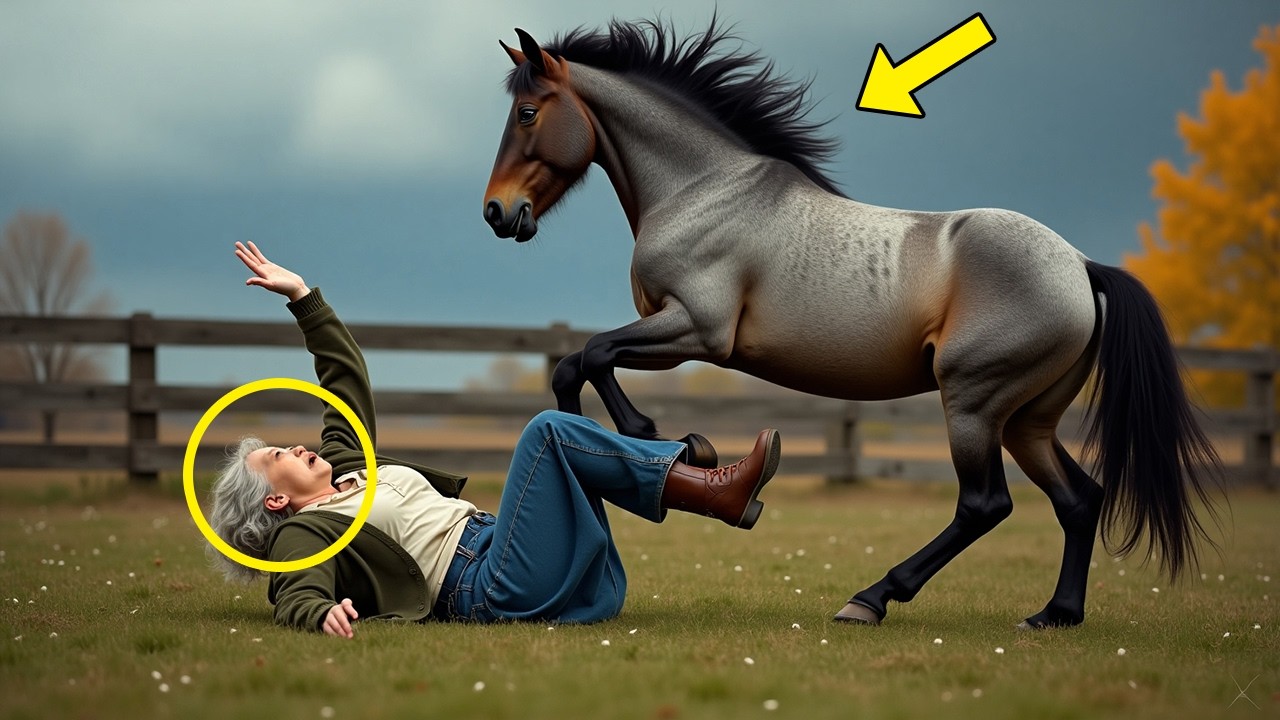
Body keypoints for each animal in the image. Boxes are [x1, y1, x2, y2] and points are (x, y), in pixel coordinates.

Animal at [481, 18, 1221, 629]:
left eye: (526, 112)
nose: (496, 212)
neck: (705, 191)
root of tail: (1081, 267)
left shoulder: (696, 330)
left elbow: (593, 355)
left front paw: (674, 440)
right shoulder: (675, 332)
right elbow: (575, 364)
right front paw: (665, 442)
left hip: (974, 402)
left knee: (985, 505)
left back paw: (872, 599)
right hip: (1027, 420)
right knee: (1079, 499)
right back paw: (1054, 615)